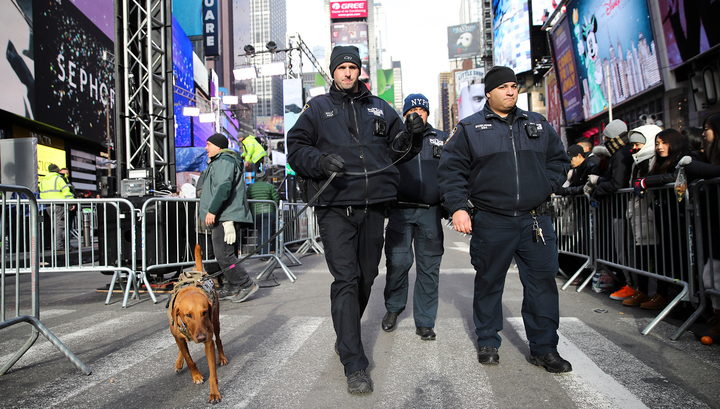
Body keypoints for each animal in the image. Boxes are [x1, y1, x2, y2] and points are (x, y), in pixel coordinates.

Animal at [167, 244, 226, 404]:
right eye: (188, 315)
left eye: (204, 312)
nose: (201, 338)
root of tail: (199, 273)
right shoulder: (178, 335)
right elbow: (189, 359)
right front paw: (196, 375)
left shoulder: (208, 342)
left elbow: (213, 373)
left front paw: (214, 393)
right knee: (182, 347)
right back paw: (179, 363)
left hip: (216, 322)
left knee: (218, 340)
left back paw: (222, 358)